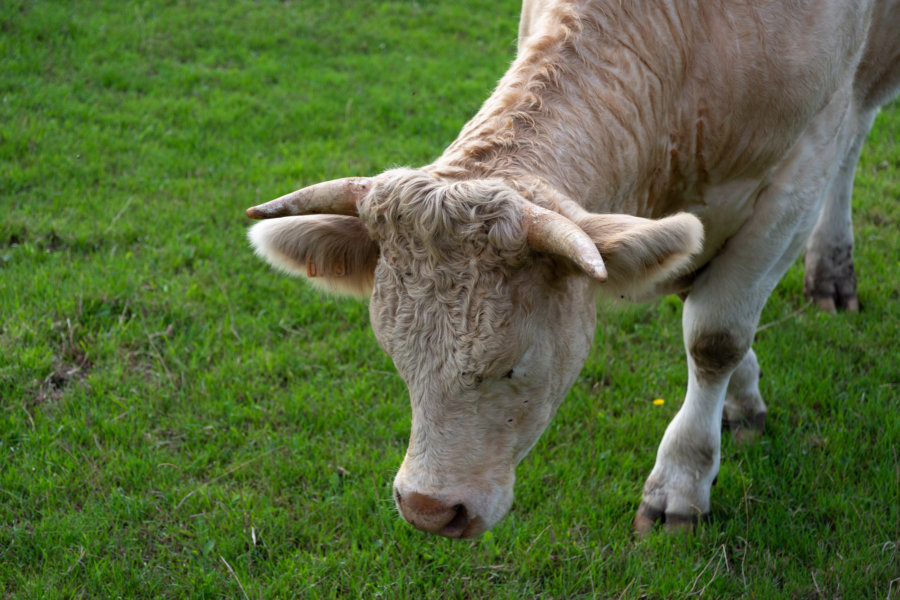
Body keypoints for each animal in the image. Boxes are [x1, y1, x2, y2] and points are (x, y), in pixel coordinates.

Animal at [244, 0, 900, 536]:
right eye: (394, 354)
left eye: (513, 365)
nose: (428, 510)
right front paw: (741, 400)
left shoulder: (798, 174)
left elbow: (714, 336)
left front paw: (681, 484)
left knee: (856, 135)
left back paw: (832, 269)